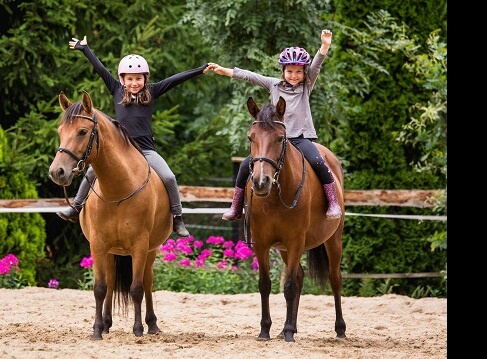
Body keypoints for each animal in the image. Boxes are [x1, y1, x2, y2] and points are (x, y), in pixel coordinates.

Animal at [48, 90, 173, 340]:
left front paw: (138, 330)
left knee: (147, 282)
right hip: (110, 251)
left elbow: (136, 288)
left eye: (82, 131)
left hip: (150, 250)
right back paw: (106, 323)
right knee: (112, 281)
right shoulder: (97, 244)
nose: (57, 172)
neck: (118, 190)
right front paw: (97, 329)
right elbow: (100, 288)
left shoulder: (140, 245)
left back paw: (152, 324)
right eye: (60, 131)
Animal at [246, 96, 346, 344]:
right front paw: (266, 330)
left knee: (335, 278)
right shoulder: (262, 243)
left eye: (280, 138)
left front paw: (289, 332)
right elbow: (265, 285)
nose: (261, 182)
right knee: (300, 276)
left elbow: (289, 286)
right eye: (251, 138)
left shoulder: (295, 241)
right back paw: (285, 328)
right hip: (283, 249)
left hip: (333, 240)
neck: (275, 197)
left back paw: (339, 329)